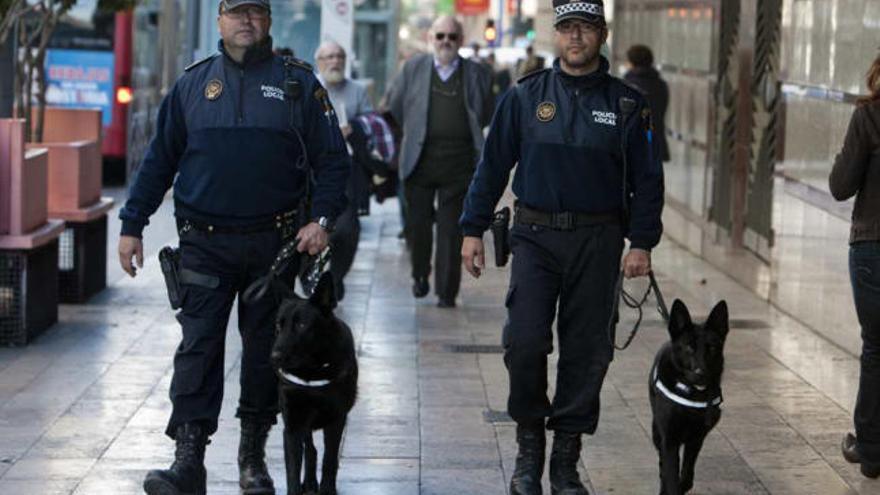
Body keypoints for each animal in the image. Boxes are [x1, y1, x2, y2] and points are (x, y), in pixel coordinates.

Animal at [272, 274, 360, 494]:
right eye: (278, 326)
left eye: (301, 325)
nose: (274, 357)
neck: (311, 371)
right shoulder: (293, 426)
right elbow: (293, 470)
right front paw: (298, 487)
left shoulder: (336, 420)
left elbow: (330, 459)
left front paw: (327, 489)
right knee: (310, 450)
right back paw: (310, 482)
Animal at [648, 300, 728, 494]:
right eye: (689, 347)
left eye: (712, 348)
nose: (701, 374)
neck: (692, 393)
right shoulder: (669, 440)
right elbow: (670, 476)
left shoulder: (696, 438)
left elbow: (686, 475)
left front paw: (683, 483)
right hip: (656, 432)